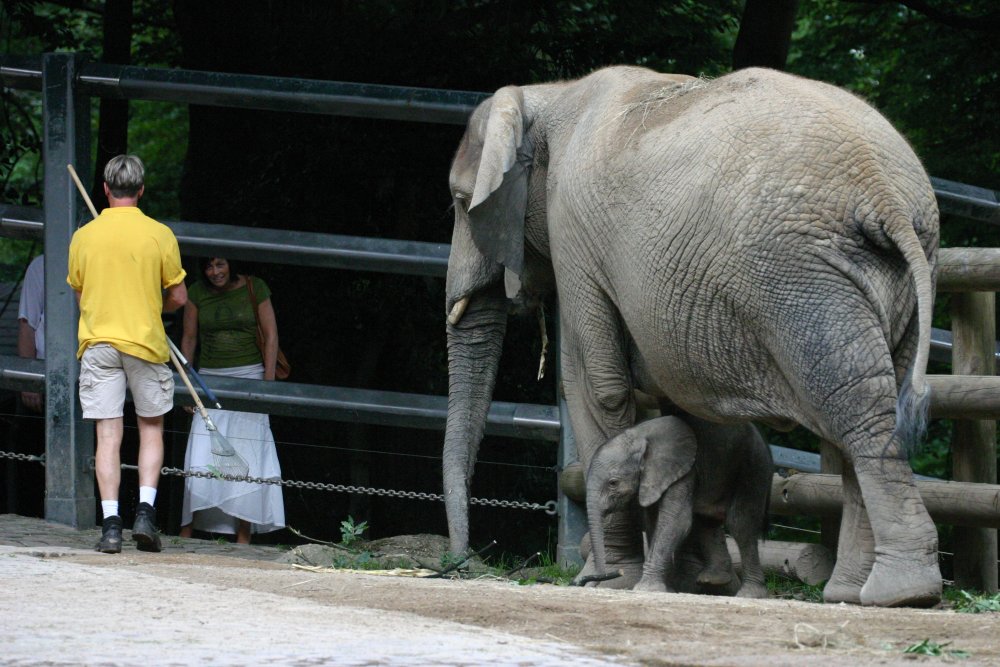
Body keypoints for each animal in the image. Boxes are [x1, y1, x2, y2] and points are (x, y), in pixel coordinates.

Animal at [584, 414, 772, 596]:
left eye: (613, 483)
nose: (592, 582)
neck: (639, 434)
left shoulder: (683, 469)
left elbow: (675, 521)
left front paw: (647, 588)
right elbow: (654, 522)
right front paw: (667, 589)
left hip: (754, 466)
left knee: (740, 523)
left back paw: (749, 594)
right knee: (705, 521)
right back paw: (713, 579)